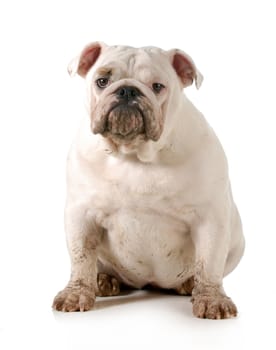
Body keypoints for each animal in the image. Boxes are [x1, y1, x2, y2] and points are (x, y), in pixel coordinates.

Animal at [52, 42, 245, 318]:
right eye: (102, 81)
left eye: (157, 86)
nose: (127, 90)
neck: (134, 153)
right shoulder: (81, 215)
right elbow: (81, 258)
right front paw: (76, 293)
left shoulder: (211, 219)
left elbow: (209, 263)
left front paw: (212, 299)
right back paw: (104, 280)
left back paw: (189, 284)